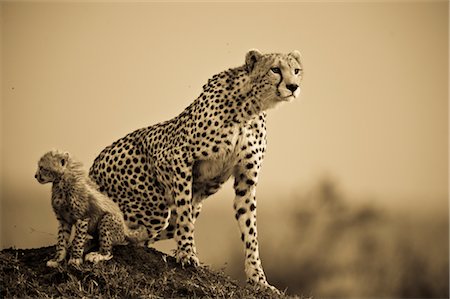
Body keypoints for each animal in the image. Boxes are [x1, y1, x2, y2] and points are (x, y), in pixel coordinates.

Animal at [89, 49, 304, 290]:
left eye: (296, 70)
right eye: (275, 69)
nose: (293, 86)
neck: (250, 108)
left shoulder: (246, 179)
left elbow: (250, 231)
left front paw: (258, 278)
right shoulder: (177, 158)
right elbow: (184, 214)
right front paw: (187, 254)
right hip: (154, 207)